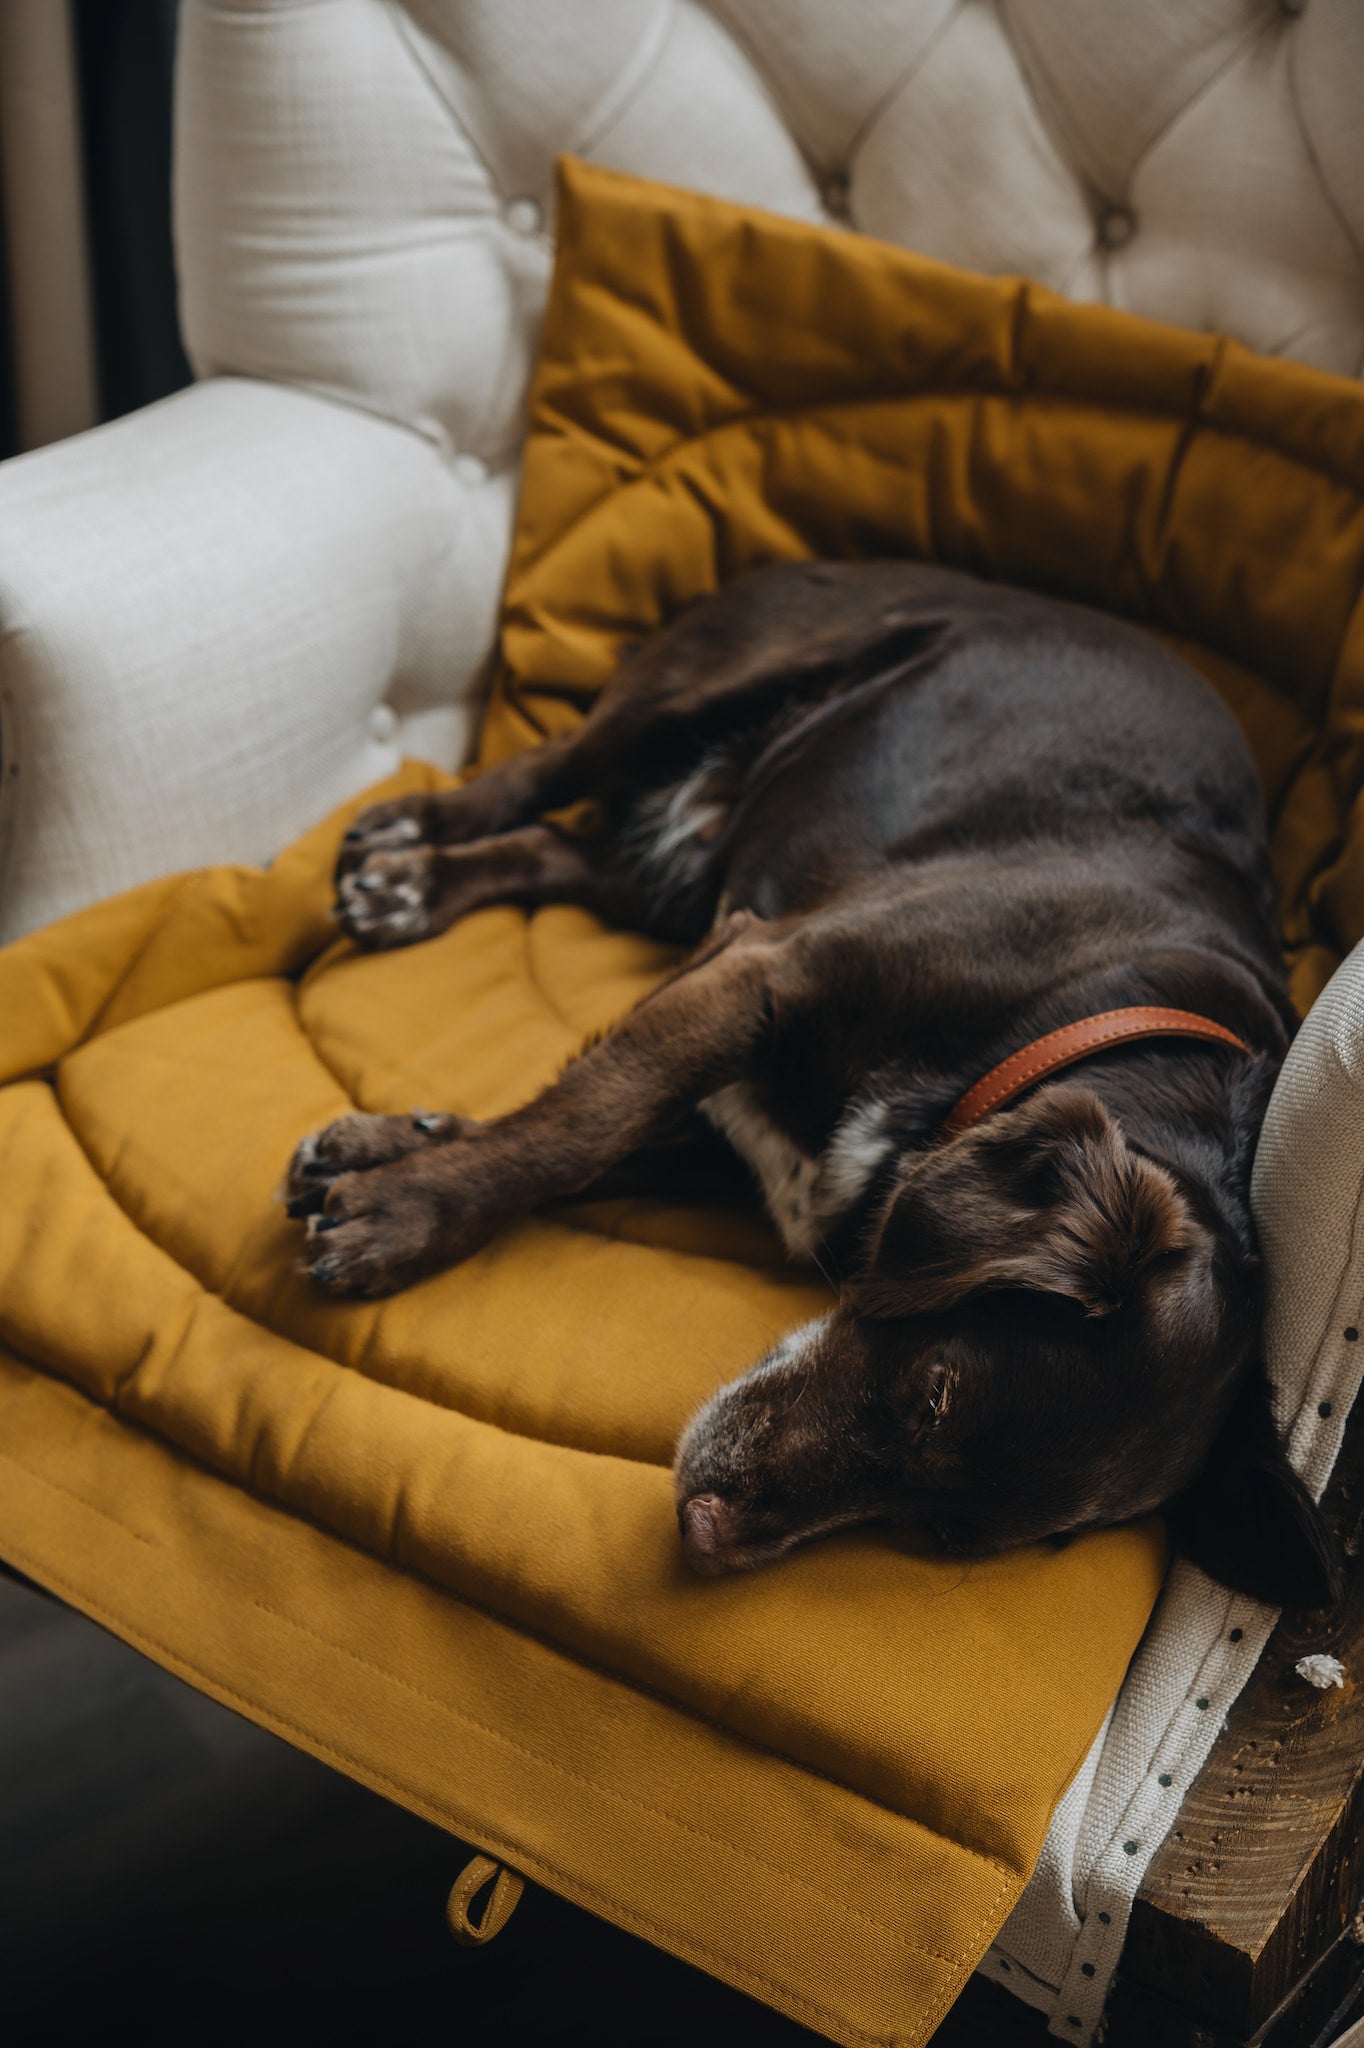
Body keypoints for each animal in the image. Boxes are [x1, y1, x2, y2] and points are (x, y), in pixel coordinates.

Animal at [278, 565, 1335, 1613]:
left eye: (945, 1533)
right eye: (934, 1393)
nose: (704, 1538)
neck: (1089, 1015)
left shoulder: (727, 1095)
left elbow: (584, 1132)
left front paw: (384, 1155)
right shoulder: (760, 971)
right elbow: (582, 1125)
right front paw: (400, 1219)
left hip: (686, 876)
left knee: (571, 854)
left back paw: (420, 887)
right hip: (701, 690)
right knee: (545, 771)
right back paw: (410, 849)